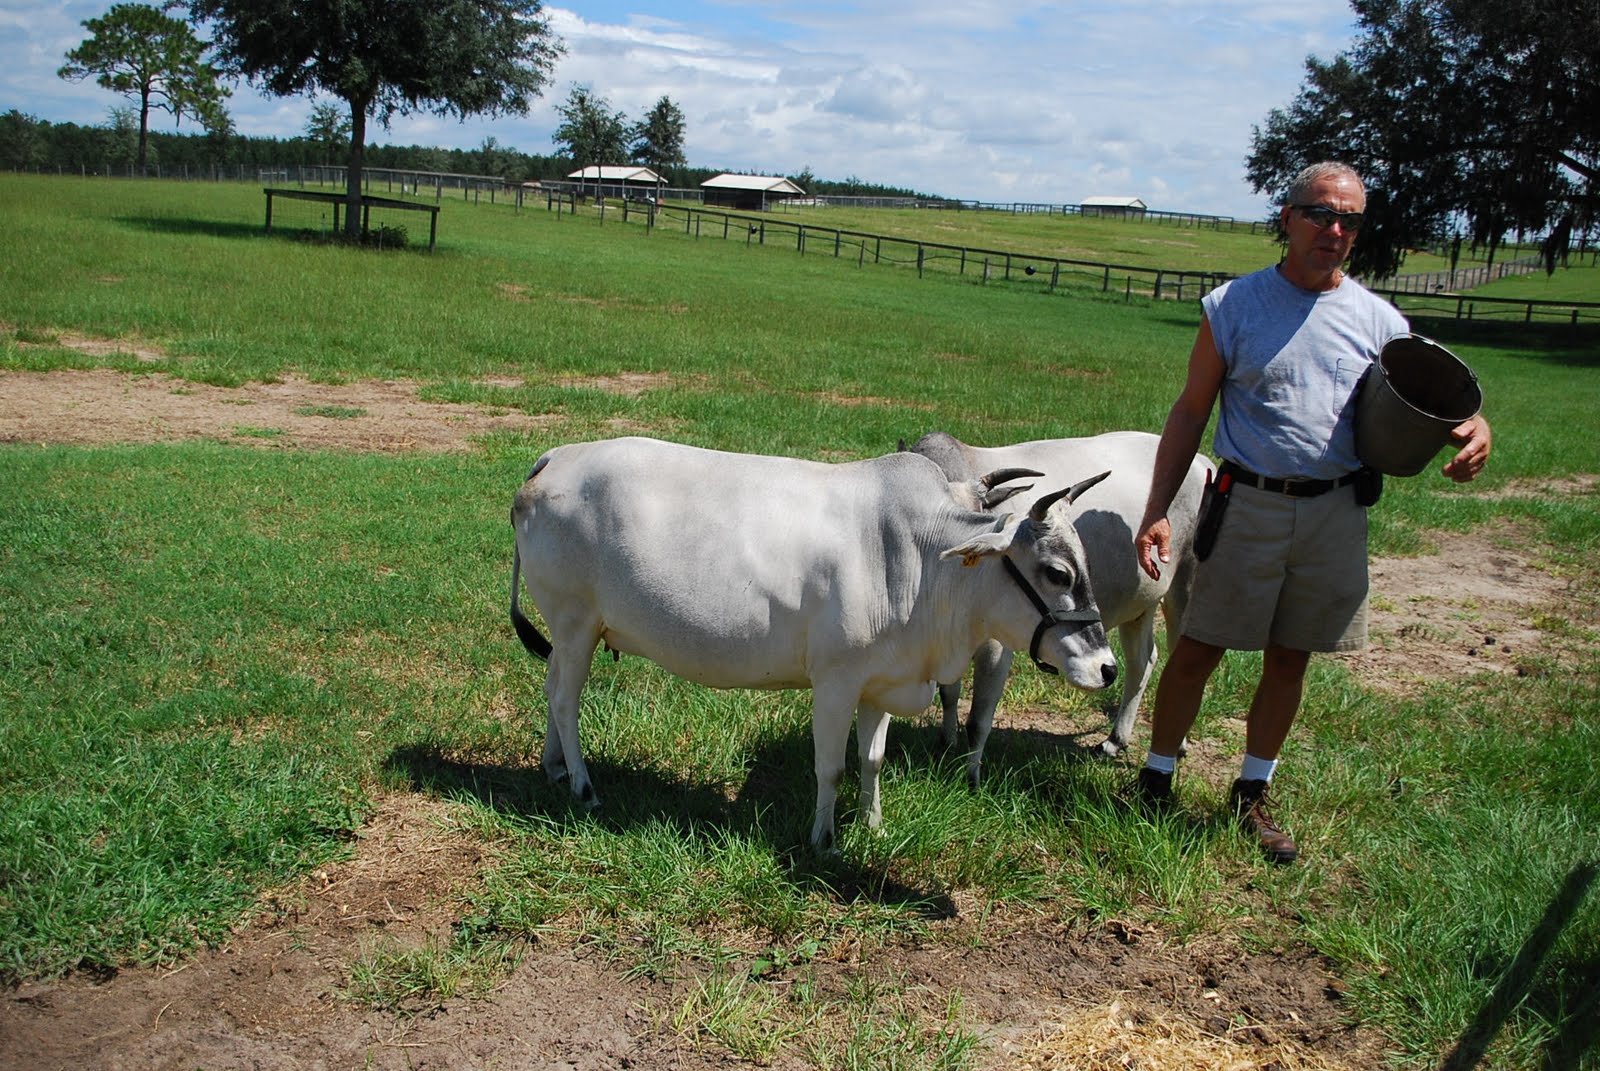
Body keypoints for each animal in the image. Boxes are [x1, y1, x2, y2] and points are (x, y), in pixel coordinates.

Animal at [508, 436, 1119, 852]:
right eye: (1057, 573)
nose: (1107, 667)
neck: (918, 559)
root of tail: (557, 457)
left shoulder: (881, 683)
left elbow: (872, 760)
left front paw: (874, 824)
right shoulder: (834, 683)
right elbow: (831, 768)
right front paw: (823, 840)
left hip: (573, 635)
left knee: (552, 689)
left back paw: (554, 768)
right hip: (575, 624)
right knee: (565, 699)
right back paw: (582, 785)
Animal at [907, 430, 1212, 784]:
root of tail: (1203, 462)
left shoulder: (995, 646)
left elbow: (978, 719)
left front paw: (972, 776)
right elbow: (949, 692)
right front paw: (946, 741)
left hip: (1186, 589)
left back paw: (1178, 744)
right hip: (1140, 604)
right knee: (1143, 660)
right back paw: (1115, 740)